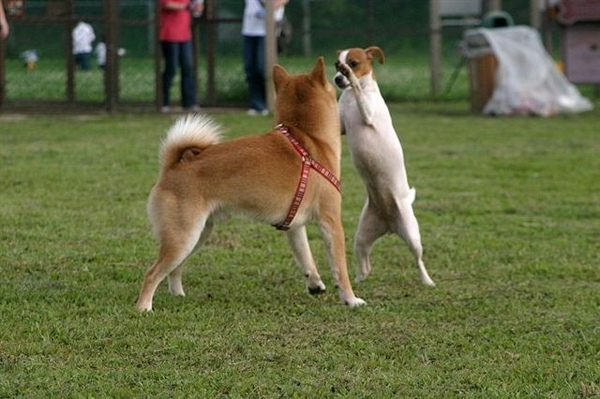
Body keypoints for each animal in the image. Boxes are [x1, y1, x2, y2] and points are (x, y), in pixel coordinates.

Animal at [136, 57, 366, 312]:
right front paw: (351, 299)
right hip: (183, 236)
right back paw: (144, 307)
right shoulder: (331, 221)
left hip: (197, 234)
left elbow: (306, 257)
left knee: (174, 270)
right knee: (152, 273)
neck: (307, 138)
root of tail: (172, 167)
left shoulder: (295, 226)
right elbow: (340, 269)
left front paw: (315, 283)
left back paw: (178, 295)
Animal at [332, 45, 436, 286]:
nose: (338, 78)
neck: (350, 98)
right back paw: (358, 278)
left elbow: (359, 93)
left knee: (418, 259)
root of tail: (389, 225)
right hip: (362, 236)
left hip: (412, 235)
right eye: (336, 64)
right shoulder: (340, 127)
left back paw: (427, 280)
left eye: (353, 63)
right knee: (366, 262)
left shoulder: (368, 115)